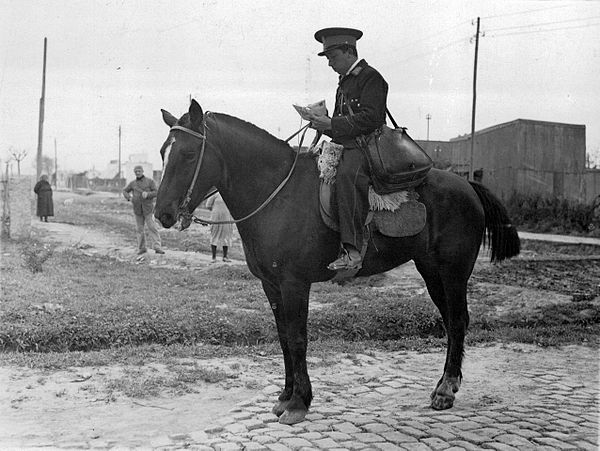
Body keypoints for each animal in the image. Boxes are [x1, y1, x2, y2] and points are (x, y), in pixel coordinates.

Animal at [155, 100, 520, 428]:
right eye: (162, 152)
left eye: (189, 155)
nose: (163, 214)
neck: (276, 194)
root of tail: (467, 185)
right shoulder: (271, 285)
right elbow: (283, 337)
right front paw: (285, 397)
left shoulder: (294, 284)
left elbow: (298, 337)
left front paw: (299, 403)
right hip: (431, 271)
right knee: (451, 320)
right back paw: (446, 384)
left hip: (453, 272)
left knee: (457, 321)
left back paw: (445, 390)